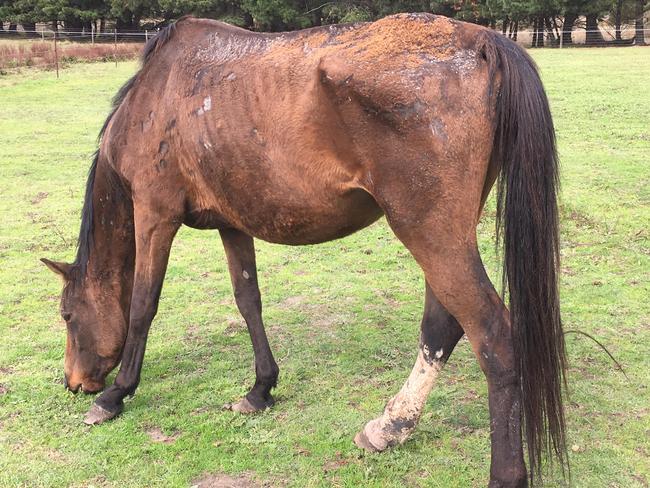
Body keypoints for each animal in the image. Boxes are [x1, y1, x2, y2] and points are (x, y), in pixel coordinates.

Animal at [43, 13, 564, 486]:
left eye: (67, 315)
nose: (75, 383)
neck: (156, 96)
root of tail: (482, 41)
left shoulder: (154, 215)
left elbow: (142, 306)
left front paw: (114, 396)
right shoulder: (232, 224)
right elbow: (248, 301)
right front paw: (260, 389)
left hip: (431, 234)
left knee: (493, 337)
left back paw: (501, 472)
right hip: (444, 236)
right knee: (442, 326)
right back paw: (390, 427)